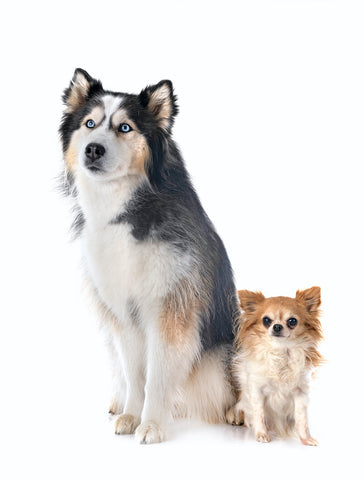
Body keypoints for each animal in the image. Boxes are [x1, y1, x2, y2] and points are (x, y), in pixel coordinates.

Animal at [59, 69, 239, 444]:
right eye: (89, 123)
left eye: (125, 127)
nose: (92, 149)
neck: (128, 210)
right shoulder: (123, 313)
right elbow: (135, 375)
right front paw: (130, 415)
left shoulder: (169, 310)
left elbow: (157, 377)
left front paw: (152, 424)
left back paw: (239, 412)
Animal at [226, 284, 322, 446]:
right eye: (266, 320)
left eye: (292, 321)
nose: (277, 326)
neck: (281, 352)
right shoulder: (257, 390)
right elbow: (259, 414)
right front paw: (262, 434)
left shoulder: (300, 392)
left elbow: (301, 419)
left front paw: (305, 439)